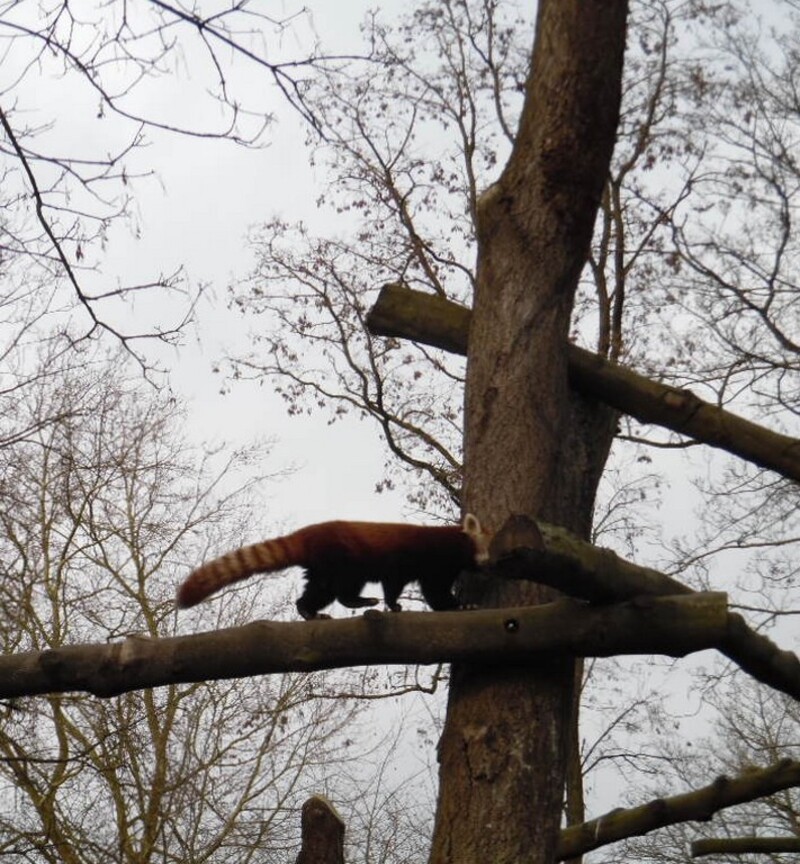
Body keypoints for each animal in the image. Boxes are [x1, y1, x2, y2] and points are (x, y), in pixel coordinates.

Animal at [177, 516, 488, 616]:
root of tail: (308, 533)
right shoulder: (421, 559)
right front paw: (460, 606)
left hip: (321, 568)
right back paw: (360, 601)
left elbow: (418, 590)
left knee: (319, 591)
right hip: (343, 559)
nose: (489, 563)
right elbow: (422, 588)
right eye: (486, 548)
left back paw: (308, 611)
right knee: (342, 588)